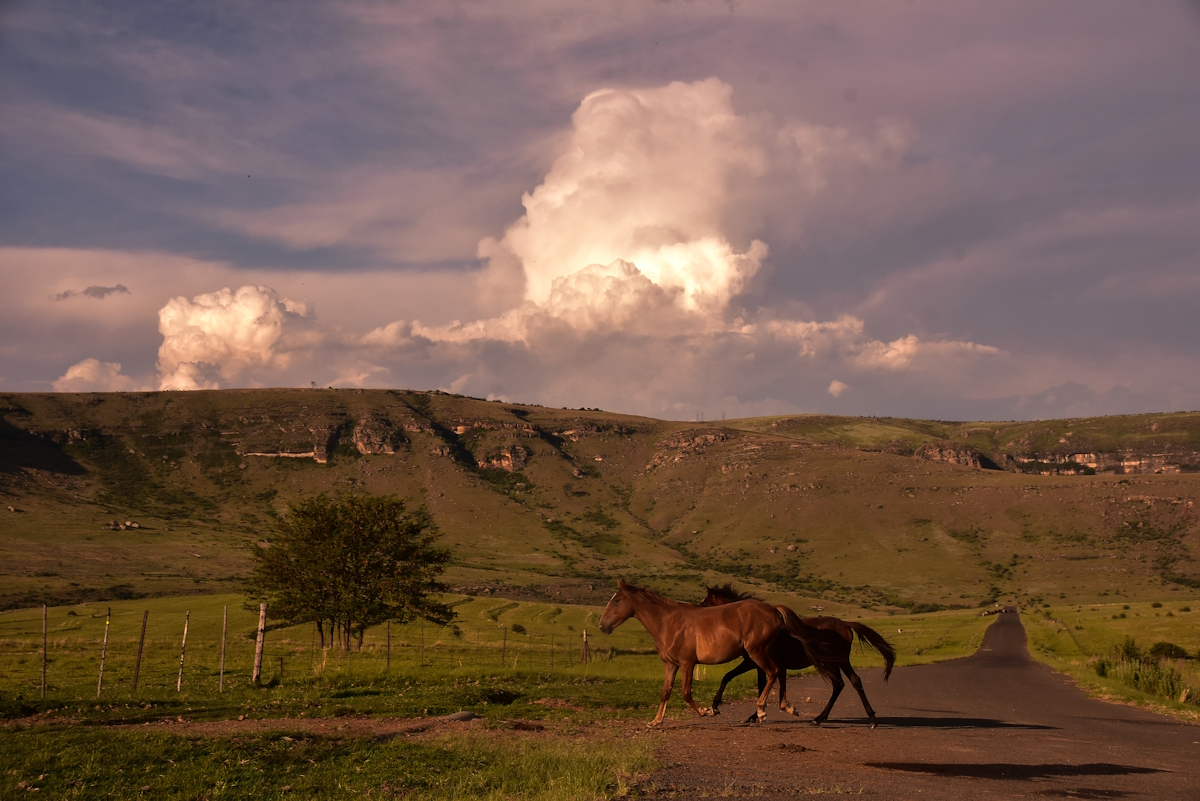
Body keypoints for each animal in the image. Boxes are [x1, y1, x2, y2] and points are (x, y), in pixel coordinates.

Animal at [595, 575, 840, 724]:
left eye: (616, 601)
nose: (602, 626)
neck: (668, 623)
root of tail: (773, 609)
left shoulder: (687, 664)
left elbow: (685, 693)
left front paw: (707, 710)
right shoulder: (670, 665)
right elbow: (666, 692)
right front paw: (655, 721)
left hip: (757, 652)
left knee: (774, 672)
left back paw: (763, 710)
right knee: (779, 673)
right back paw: (786, 708)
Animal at [700, 585, 892, 729]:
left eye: (706, 604)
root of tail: (845, 624)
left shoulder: (751, 662)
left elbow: (728, 676)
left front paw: (716, 706)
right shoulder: (757, 664)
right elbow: (760, 684)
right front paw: (754, 715)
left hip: (837, 661)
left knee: (849, 683)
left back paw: (864, 719)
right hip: (835, 663)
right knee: (845, 683)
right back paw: (824, 718)